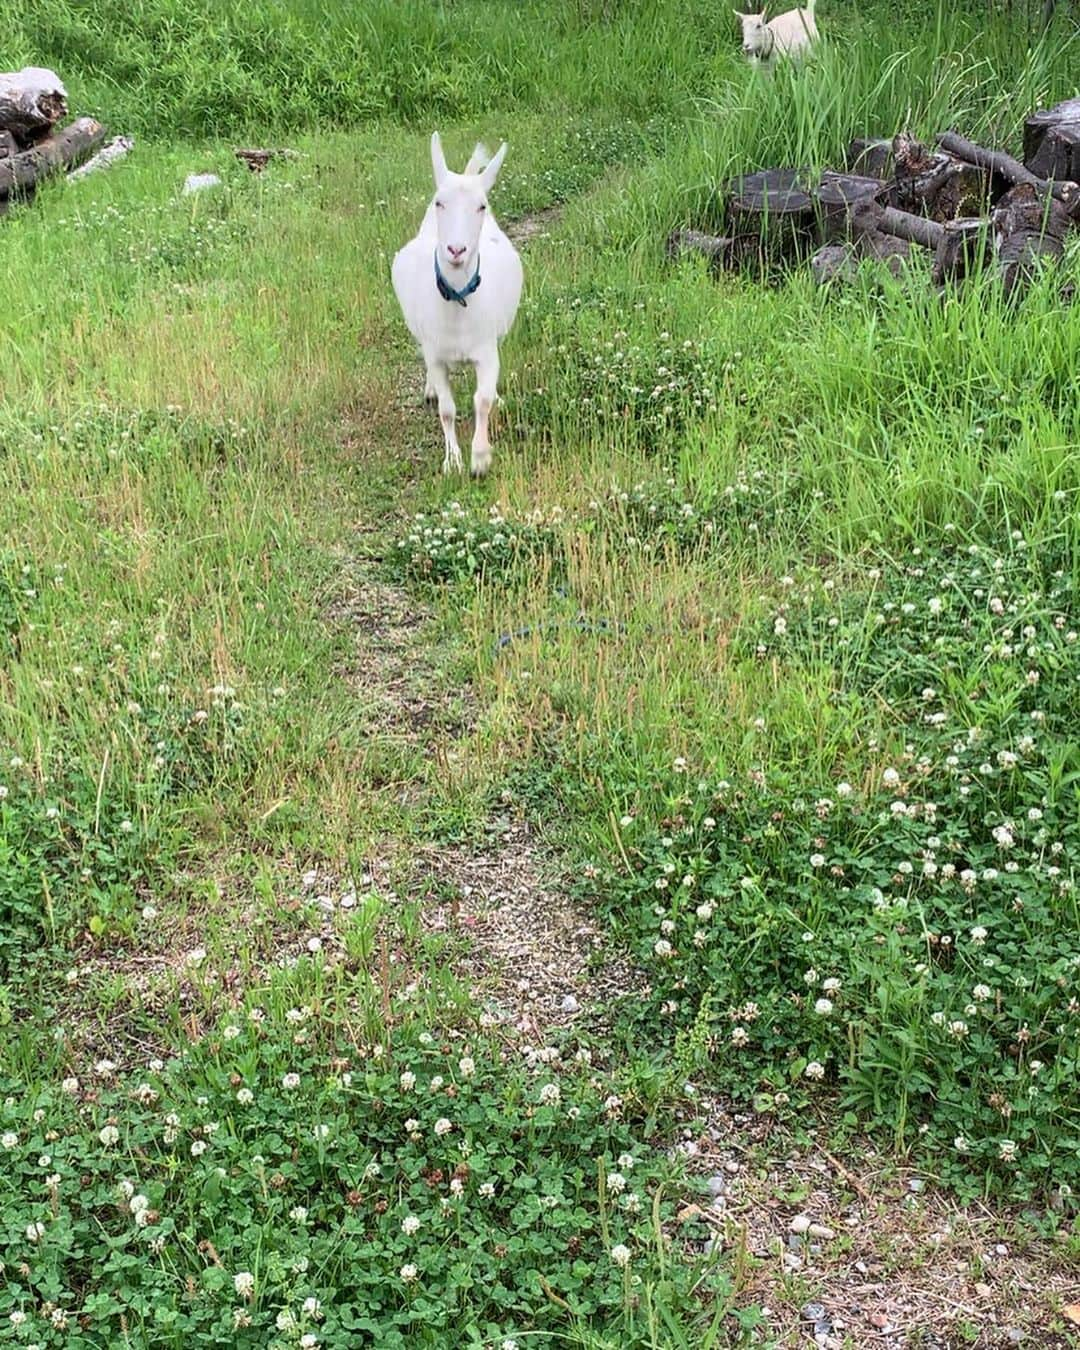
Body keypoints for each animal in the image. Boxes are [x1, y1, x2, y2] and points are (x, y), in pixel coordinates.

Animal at [391, 127, 526, 475]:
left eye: (482, 206)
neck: (456, 303)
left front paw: (480, 459)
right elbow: (448, 409)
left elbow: (482, 399)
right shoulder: (436, 356)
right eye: (439, 202)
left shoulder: (486, 351)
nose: (456, 250)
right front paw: (452, 461)